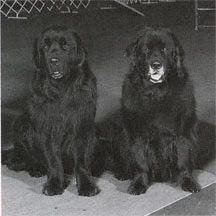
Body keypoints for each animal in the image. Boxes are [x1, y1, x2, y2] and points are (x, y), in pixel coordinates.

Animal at [2, 26, 99, 197]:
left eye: (65, 45)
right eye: (45, 46)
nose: (54, 61)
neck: (61, 89)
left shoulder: (83, 126)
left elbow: (81, 160)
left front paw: (86, 185)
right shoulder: (47, 128)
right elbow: (53, 159)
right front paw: (54, 184)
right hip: (21, 124)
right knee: (22, 160)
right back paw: (36, 169)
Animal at [103, 27, 201, 194]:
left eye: (165, 49)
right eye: (146, 50)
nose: (156, 65)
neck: (156, 93)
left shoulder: (182, 133)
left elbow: (182, 159)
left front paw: (188, 182)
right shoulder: (137, 134)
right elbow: (140, 161)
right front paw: (138, 183)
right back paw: (122, 173)